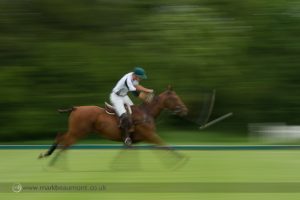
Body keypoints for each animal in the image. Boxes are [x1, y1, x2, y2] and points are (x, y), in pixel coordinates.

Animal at [37, 86, 188, 159]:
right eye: (175, 98)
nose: (185, 110)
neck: (147, 113)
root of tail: (76, 108)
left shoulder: (140, 140)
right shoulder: (150, 135)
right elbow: (166, 145)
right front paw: (181, 159)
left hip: (76, 131)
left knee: (60, 137)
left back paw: (46, 155)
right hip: (77, 132)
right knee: (64, 142)